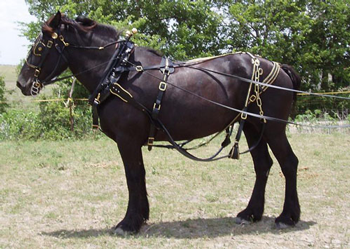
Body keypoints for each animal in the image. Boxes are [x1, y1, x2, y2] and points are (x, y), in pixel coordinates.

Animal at [16, 11, 300, 233]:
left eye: (39, 47)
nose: (21, 82)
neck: (119, 72)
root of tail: (278, 66)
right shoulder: (132, 141)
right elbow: (139, 175)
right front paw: (141, 218)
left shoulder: (127, 140)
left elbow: (132, 176)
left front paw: (128, 223)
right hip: (253, 126)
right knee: (263, 165)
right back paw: (251, 213)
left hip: (273, 128)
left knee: (288, 163)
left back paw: (288, 217)